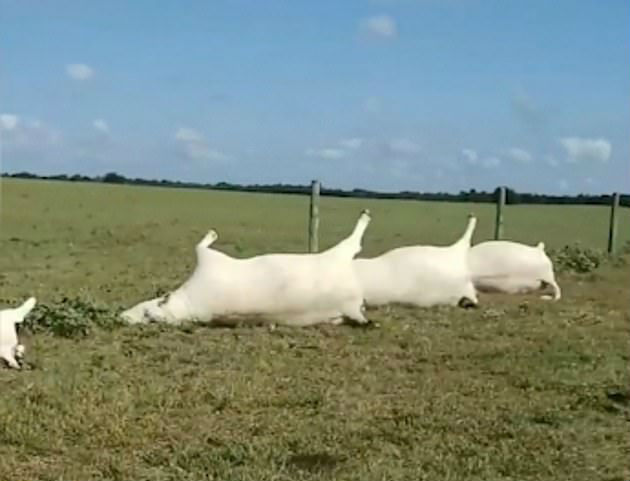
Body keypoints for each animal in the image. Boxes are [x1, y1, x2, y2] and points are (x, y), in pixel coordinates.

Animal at [121, 209, 372, 326]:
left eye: (147, 313)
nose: (121, 318)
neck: (188, 304)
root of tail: (352, 307)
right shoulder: (208, 259)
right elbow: (200, 245)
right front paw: (212, 234)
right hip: (340, 255)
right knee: (353, 242)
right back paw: (364, 217)